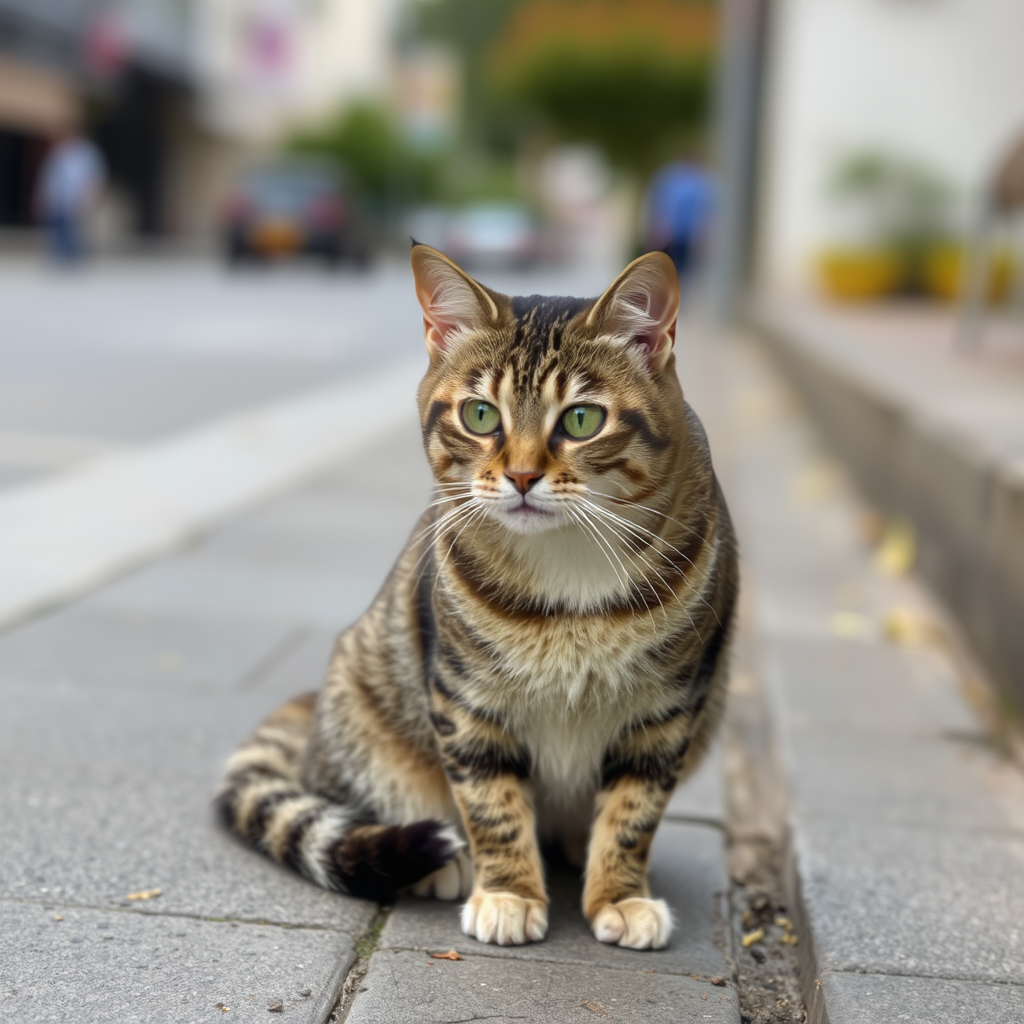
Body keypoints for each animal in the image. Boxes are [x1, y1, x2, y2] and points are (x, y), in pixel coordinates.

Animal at [218, 243, 737, 946]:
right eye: (481, 415)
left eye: (582, 419)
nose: (520, 475)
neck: (569, 568)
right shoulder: (467, 698)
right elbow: (493, 803)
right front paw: (510, 892)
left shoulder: (669, 708)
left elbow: (633, 813)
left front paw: (620, 894)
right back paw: (441, 862)